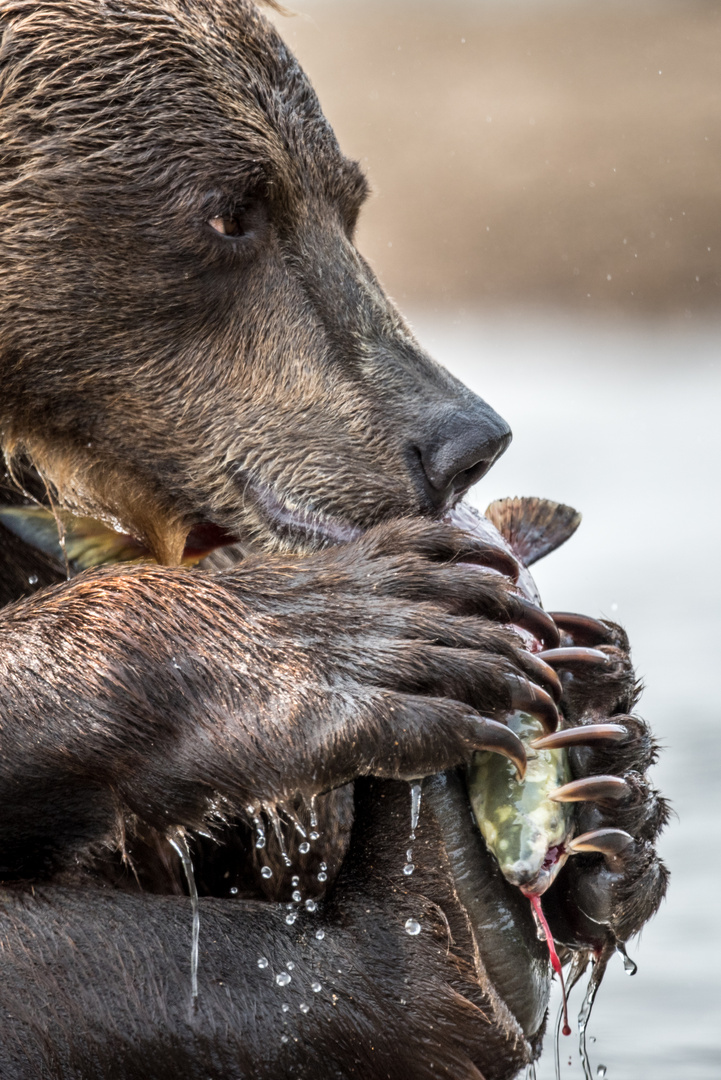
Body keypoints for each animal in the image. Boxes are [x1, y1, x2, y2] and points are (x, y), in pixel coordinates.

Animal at [0, 4, 669, 1075]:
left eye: (345, 201)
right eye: (230, 212)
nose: (465, 439)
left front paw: (612, 763)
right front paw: (364, 637)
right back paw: (431, 926)